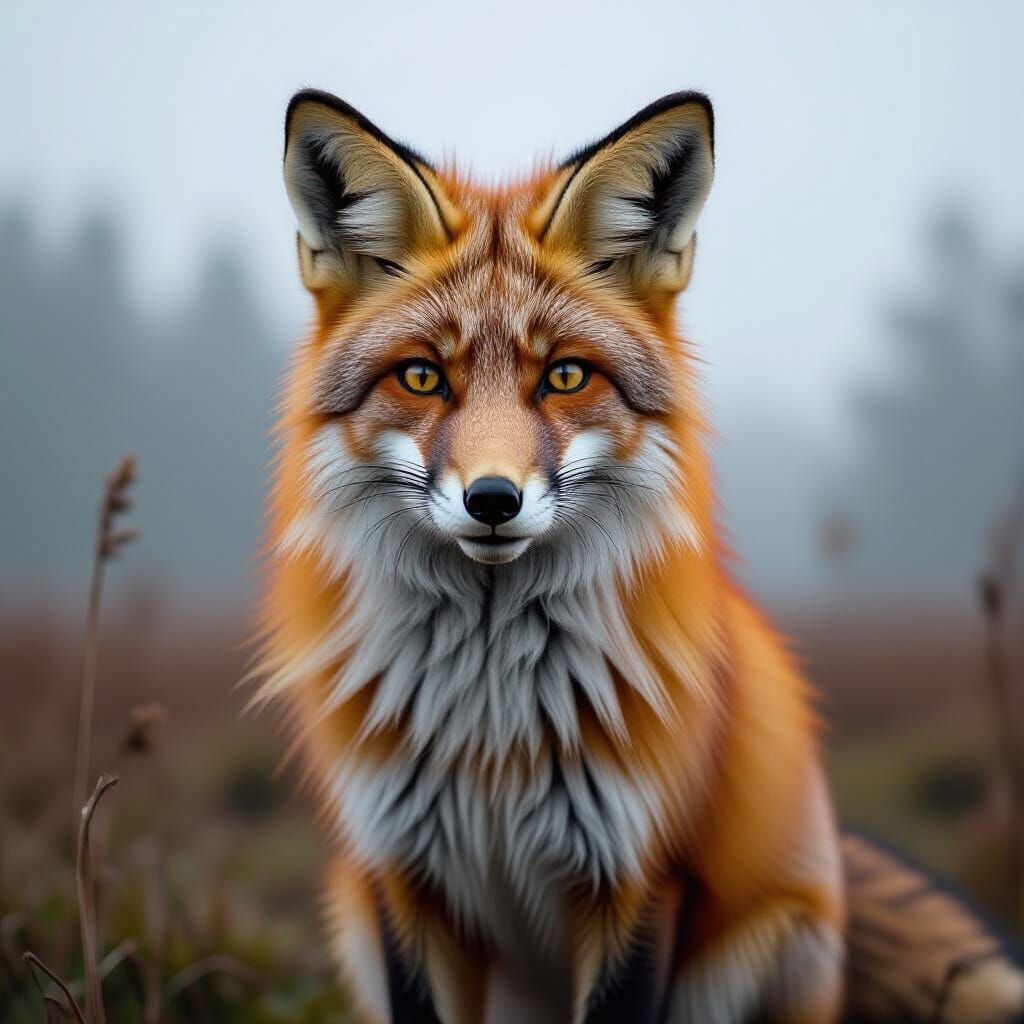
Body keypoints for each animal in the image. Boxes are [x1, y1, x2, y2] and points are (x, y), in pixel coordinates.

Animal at [258, 89, 1024, 1023]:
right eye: (422, 378)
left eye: (564, 376)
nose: (492, 500)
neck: (493, 735)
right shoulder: (401, 880)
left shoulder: (640, 877)